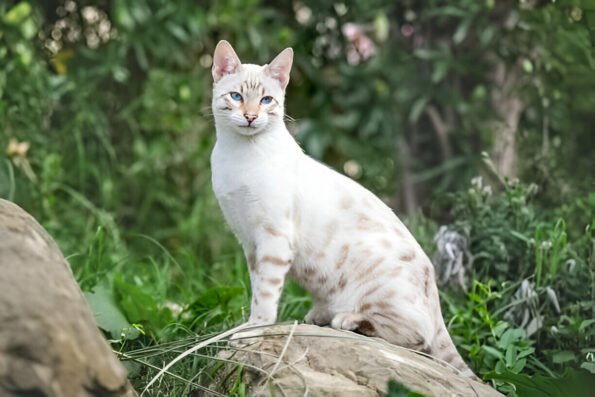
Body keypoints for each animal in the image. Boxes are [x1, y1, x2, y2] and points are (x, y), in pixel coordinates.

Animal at [212, 40, 478, 378]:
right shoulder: (248, 241)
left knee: (420, 337)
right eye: (236, 96)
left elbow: (265, 296)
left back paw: (349, 319)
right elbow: (257, 288)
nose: (249, 116)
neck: (238, 155)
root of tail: (434, 290)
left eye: (266, 100)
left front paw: (252, 330)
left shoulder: (273, 238)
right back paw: (321, 315)